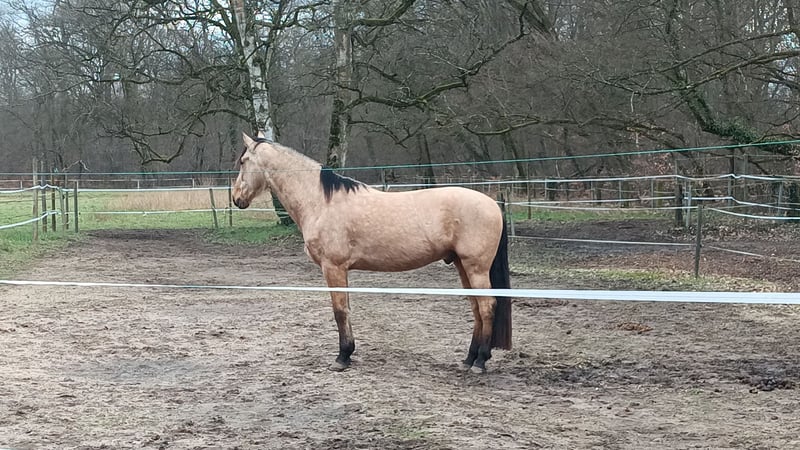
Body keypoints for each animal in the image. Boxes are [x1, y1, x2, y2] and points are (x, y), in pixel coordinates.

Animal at [232, 132, 511, 373]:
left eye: (243, 161)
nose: (236, 198)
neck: (321, 202)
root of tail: (493, 204)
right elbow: (346, 309)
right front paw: (348, 353)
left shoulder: (333, 267)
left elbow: (339, 311)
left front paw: (342, 357)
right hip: (462, 265)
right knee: (476, 308)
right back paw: (468, 359)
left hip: (475, 267)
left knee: (487, 306)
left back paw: (480, 362)